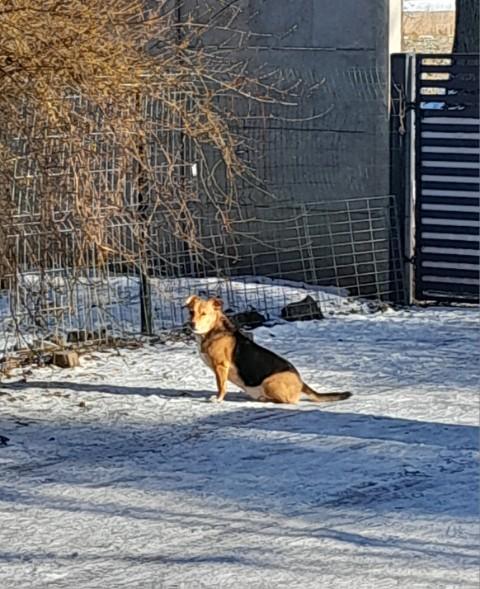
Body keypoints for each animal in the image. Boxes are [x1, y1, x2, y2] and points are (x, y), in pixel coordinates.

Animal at [186, 294, 350, 404]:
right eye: (191, 312)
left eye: (204, 313)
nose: (191, 324)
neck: (212, 331)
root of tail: (301, 382)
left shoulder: (221, 366)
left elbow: (221, 386)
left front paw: (218, 399)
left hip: (268, 383)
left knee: (289, 400)